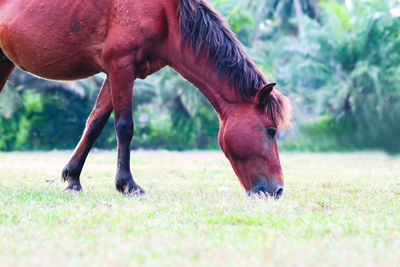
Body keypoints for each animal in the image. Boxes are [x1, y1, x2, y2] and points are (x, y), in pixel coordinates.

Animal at [1, 0, 292, 199]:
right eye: (270, 131)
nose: (277, 190)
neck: (166, 14)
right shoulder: (121, 66)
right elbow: (124, 127)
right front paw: (127, 184)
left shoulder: (116, 72)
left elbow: (95, 123)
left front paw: (72, 179)